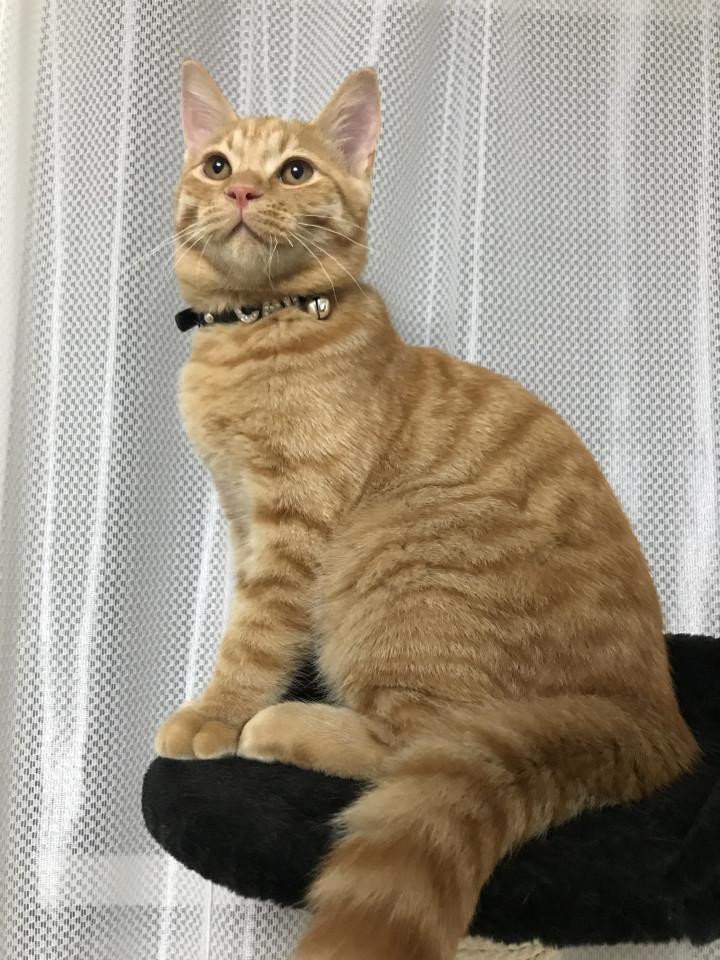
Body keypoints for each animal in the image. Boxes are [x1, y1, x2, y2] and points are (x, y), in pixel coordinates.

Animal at [155, 60, 700, 960]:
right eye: (218, 164)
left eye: (294, 171)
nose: (239, 192)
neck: (259, 327)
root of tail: (656, 720)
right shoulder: (242, 519)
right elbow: (255, 625)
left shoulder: (292, 526)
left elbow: (254, 636)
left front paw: (218, 713)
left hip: (393, 555)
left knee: (420, 742)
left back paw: (284, 725)